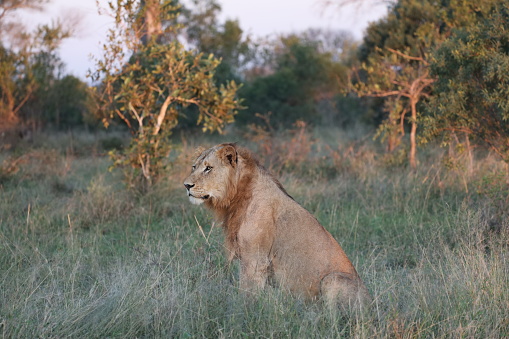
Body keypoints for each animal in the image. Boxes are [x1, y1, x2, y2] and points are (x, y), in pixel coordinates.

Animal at [183, 143, 370, 310]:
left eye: (208, 168)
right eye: (194, 167)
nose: (186, 185)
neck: (236, 197)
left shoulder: (255, 259)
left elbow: (247, 294)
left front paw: (244, 314)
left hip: (333, 279)